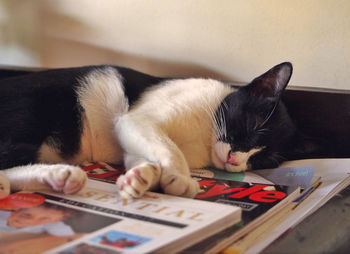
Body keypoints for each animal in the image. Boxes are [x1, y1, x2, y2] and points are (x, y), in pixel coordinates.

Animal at [0, 62, 296, 199]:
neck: (205, 138)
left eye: (262, 160)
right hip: (30, 114)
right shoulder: (137, 121)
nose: (236, 160)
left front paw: (141, 177)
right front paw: (181, 179)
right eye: (252, 125)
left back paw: (58, 178)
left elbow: (144, 157)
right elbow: (170, 148)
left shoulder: (134, 141)